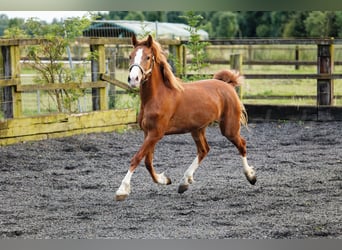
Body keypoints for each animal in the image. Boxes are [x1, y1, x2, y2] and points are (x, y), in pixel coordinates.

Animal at [115, 34, 256, 201]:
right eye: (130, 56)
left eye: (148, 57)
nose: (133, 79)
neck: (156, 97)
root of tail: (228, 85)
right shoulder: (147, 133)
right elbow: (148, 162)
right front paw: (165, 179)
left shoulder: (156, 134)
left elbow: (137, 158)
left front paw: (122, 190)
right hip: (198, 129)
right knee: (204, 150)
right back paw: (184, 182)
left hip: (229, 128)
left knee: (242, 145)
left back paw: (251, 176)